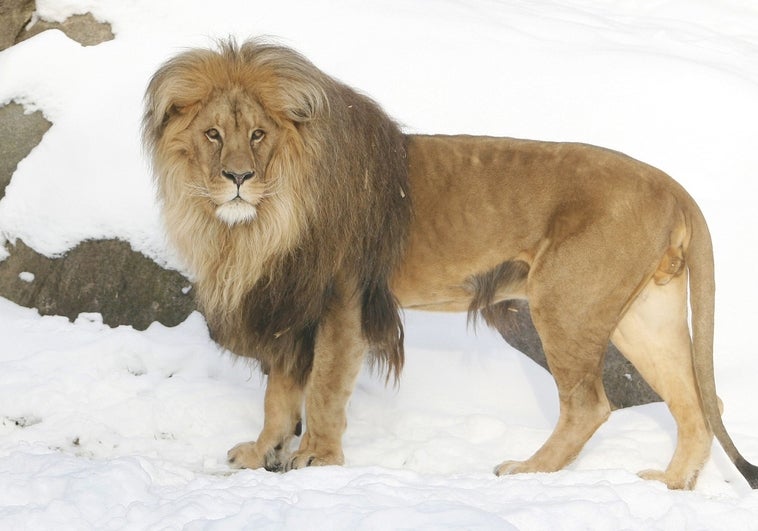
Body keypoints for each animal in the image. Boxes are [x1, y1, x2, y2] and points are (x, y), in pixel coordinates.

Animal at [142, 39, 758, 492]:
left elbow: (322, 388)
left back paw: (527, 472)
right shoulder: (291, 306)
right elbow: (280, 393)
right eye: (213, 134)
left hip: (566, 303)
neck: (254, 226)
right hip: (643, 316)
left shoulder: (341, 299)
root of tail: (670, 184)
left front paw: (316, 461)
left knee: (590, 405)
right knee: (699, 403)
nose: (238, 177)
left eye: (258, 134)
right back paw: (671, 485)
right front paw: (262, 452)